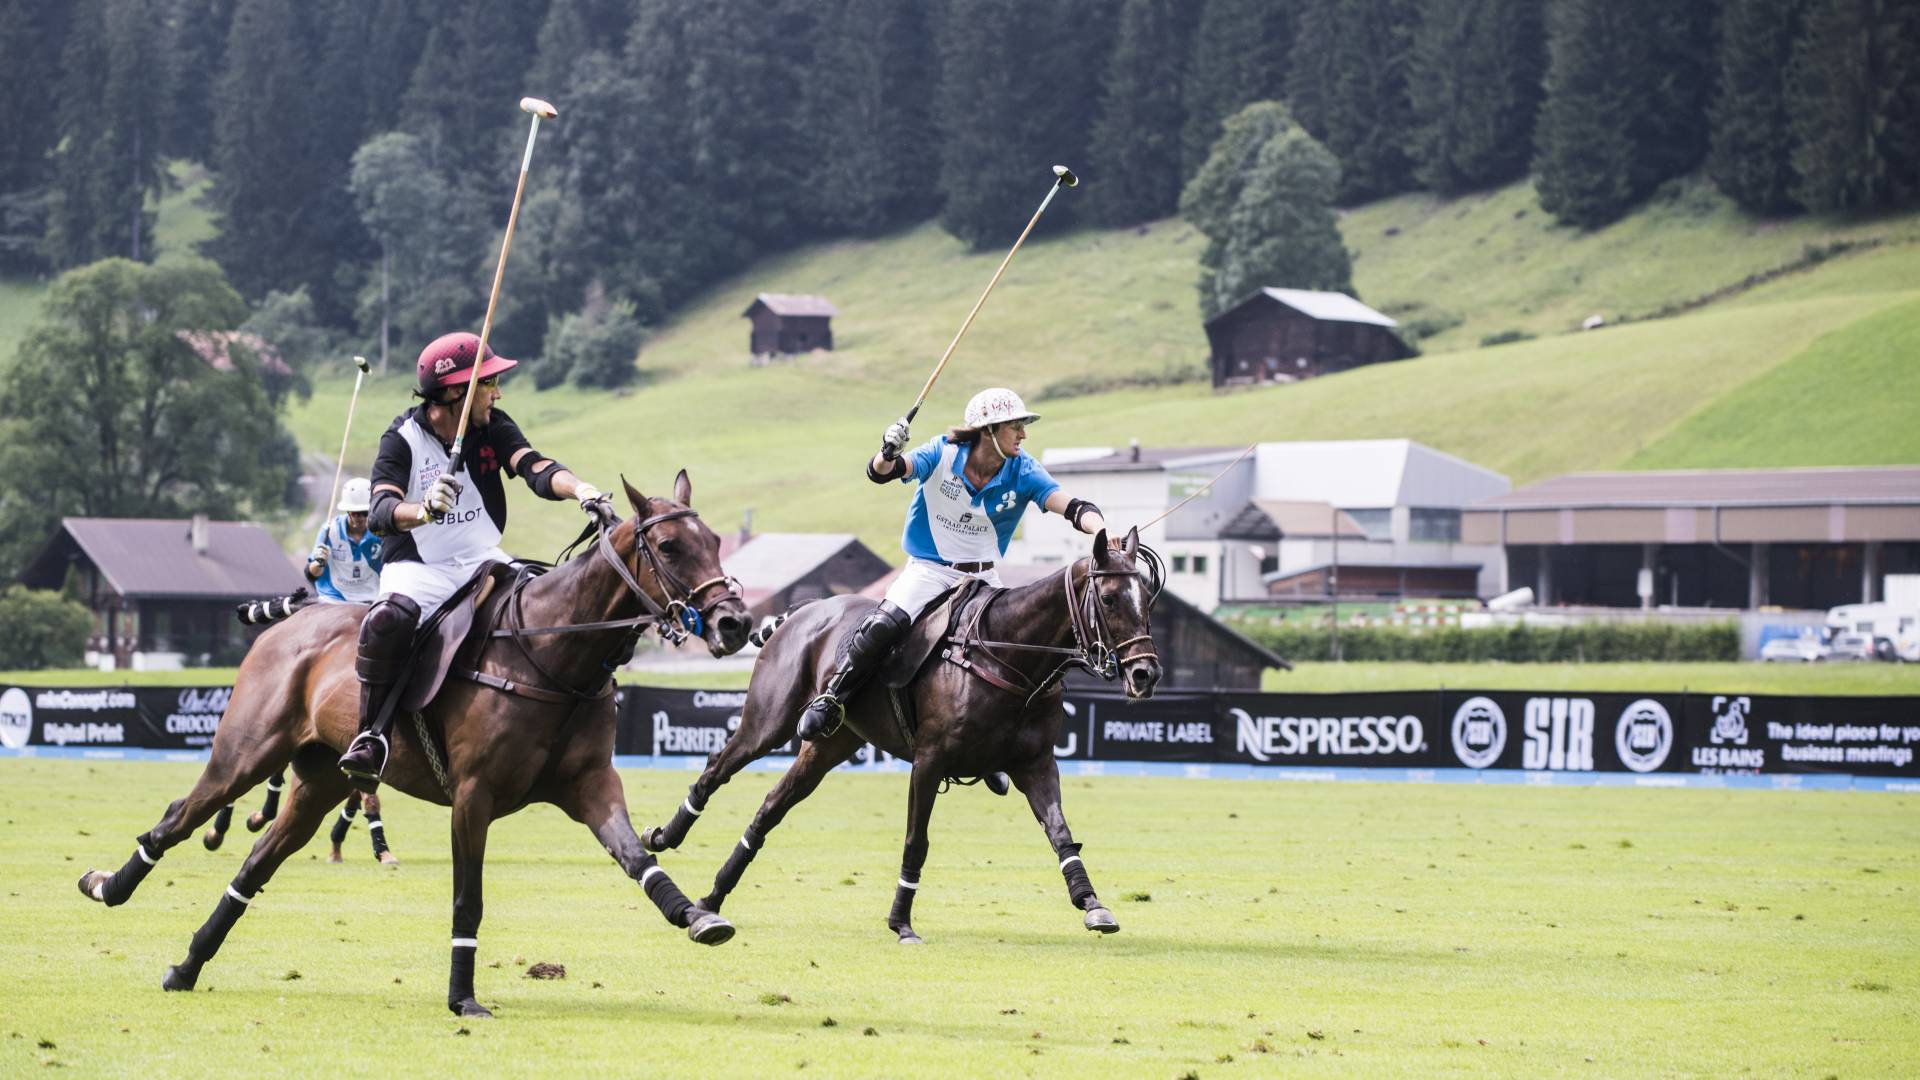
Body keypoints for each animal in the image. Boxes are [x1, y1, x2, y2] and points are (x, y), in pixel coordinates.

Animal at [76, 470, 748, 1006]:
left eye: (716, 541)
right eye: (669, 546)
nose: (734, 623)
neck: (552, 656)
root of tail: (295, 619)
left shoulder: (590, 786)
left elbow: (639, 858)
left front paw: (697, 916)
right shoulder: (473, 795)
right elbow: (467, 898)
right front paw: (463, 999)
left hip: (318, 781)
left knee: (256, 863)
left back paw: (187, 966)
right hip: (245, 751)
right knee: (179, 816)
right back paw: (108, 886)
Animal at [645, 530, 1159, 941]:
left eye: (1147, 598)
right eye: (1110, 599)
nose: (1145, 674)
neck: (1008, 656)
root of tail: (799, 612)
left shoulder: (1035, 764)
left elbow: (1060, 833)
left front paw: (1093, 905)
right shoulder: (929, 761)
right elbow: (916, 840)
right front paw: (901, 922)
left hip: (831, 744)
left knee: (770, 807)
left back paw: (712, 898)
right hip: (768, 723)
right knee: (716, 769)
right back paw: (665, 836)